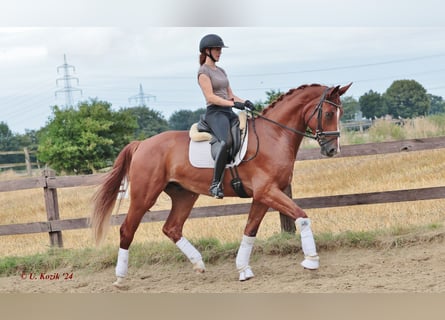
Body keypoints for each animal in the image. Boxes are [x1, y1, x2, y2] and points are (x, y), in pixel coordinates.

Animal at [90, 82, 352, 284]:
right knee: (127, 229)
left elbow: (250, 230)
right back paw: (120, 278)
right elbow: (302, 215)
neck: (274, 136)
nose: (332, 150)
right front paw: (311, 261)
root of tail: (142, 144)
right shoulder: (268, 192)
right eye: (329, 114)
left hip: (185, 195)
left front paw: (243, 269)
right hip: (145, 196)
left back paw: (199, 264)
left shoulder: (263, 196)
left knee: (172, 228)